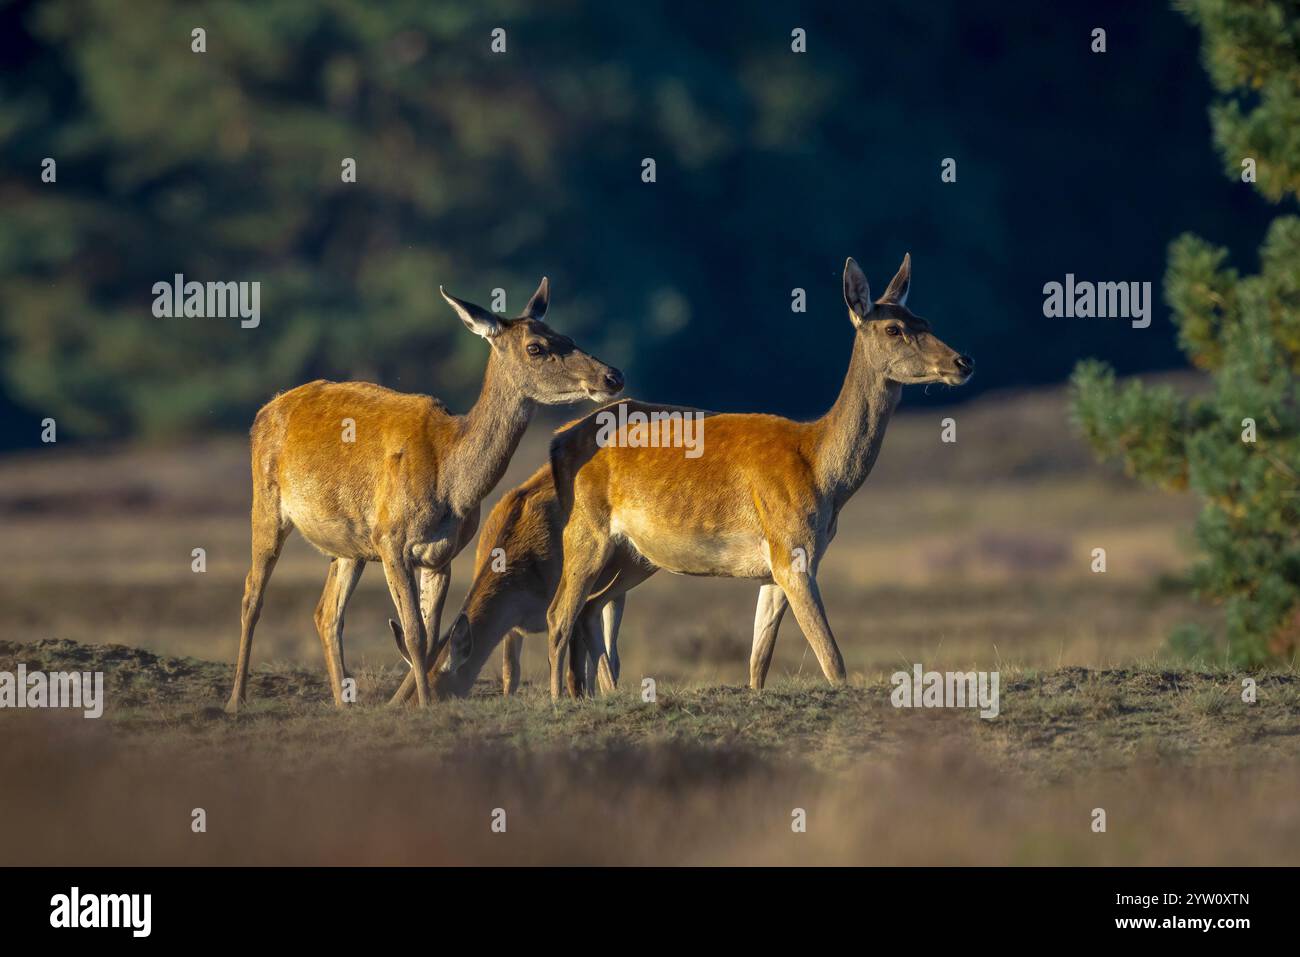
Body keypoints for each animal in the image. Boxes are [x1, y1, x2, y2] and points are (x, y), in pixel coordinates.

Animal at [224, 277, 624, 712]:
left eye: (567, 335)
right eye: (536, 346)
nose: (612, 375)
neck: (451, 482)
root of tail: (264, 410)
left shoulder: (441, 554)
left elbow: (431, 636)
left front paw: (421, 700)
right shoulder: (391, 540)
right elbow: (414, 631)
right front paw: (426, 705)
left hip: (349, 546)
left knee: (326, 613)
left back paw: (343, 704)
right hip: (266, 504)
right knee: (251, 595)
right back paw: (236, 700)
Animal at [531, 254, 973, 699]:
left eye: (925, 320)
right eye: (893, 328)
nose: (963, 362)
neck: (821, 471)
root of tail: (557, 441)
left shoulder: (777, 565)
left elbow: (758, 659)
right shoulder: (792, 549)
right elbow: (832, 659)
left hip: (634, 554)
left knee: (590, 607)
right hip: (586, 531)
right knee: (558, 615)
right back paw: (558, 698)